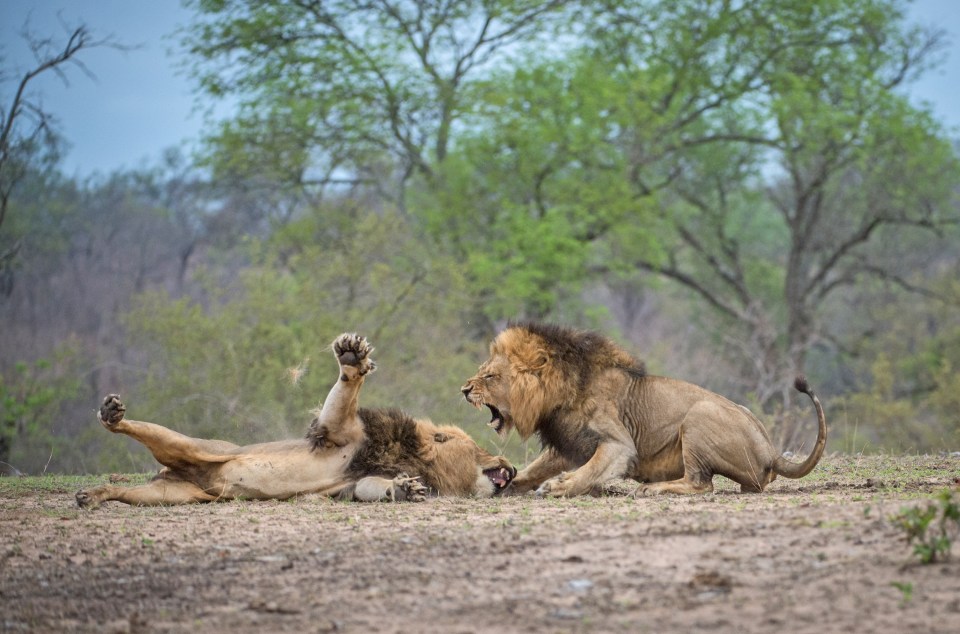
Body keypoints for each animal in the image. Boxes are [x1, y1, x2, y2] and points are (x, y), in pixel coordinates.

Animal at [76, 330, 512, 508]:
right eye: (479, 448)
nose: (509, 464)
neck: (413, 457)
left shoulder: (354, 482)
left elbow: (373, 488)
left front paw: (403, 490)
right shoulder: (338, 431)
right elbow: (345, 391)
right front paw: (351, 358)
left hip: (170, 494)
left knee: (127, 493)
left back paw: (93, 495)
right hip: (193, 446)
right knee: (133, 428)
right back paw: (111, 415)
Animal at [460, 320, 824, 494]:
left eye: (490, 376)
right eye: (482, 371)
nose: (464, 389)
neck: (559, 395)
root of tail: (771, 450)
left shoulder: (618, 443)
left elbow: (590, 470)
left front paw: (561, 486)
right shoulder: (571, 441)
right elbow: (536, 468)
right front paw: (507, 484)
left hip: (699, 415)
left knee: (701, 484)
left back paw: (653, 488)